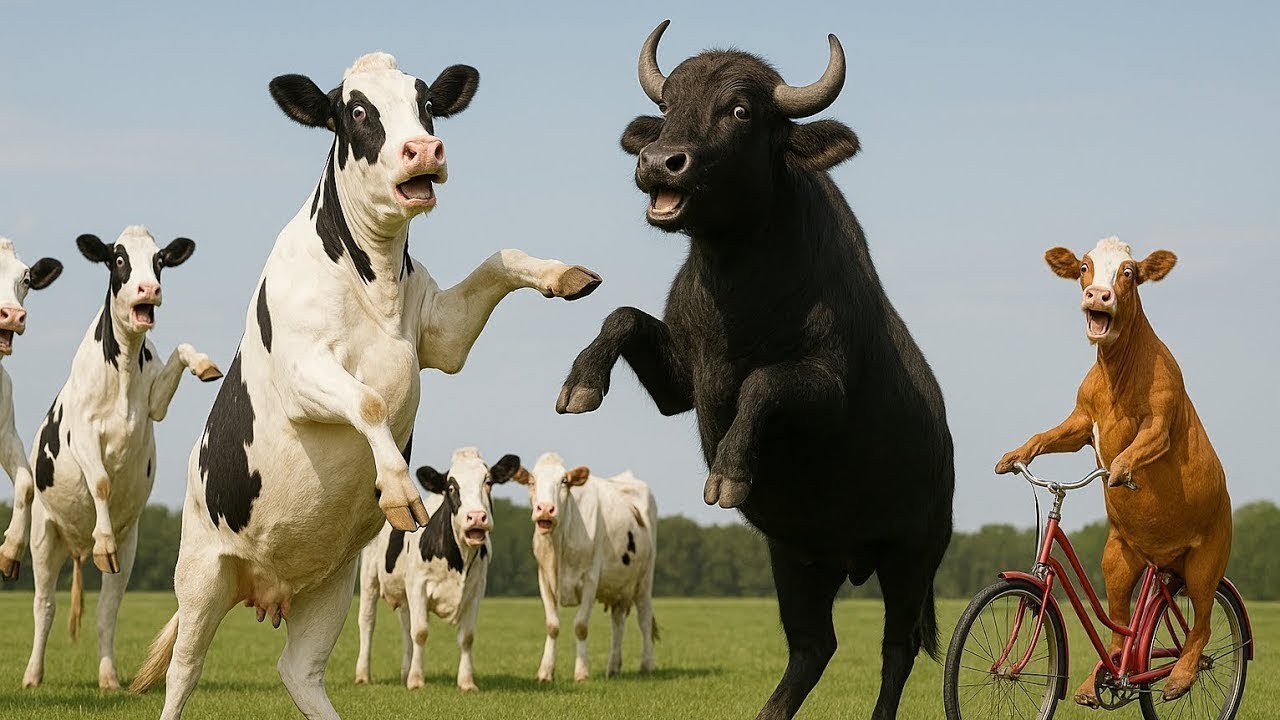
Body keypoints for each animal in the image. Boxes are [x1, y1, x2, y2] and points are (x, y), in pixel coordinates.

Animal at [19, 226, 220, 690]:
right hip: (43, 533)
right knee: (44, 605)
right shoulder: (82, 432)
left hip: (130, 547)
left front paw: (204, 363)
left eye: (160, 260)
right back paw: (33, 674)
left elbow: (181, 351)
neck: (124, 363)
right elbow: (101, 482)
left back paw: (109, 676)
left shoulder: (154, 407)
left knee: (107, 611)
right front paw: (103, 537)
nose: (149, 289)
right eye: (119, 260)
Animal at [355, 447, 519, 691]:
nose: (476, 517)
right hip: (369, 576)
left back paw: (404, 672)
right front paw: (416, 680)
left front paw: (466, 682)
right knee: (368, 622)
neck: (457, 561)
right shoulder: (418, 585)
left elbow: (467, 636)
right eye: (451, 487)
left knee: (405, 625)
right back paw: (363, 675)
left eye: (488, 481)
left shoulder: (476, 590)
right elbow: (420, 632)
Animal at [515, 452, 657, 682]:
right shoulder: (544, 578)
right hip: (619, 585)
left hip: (645, 579)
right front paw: (546, 672)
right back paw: (613, 667)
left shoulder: (590, 578)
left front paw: (581, 673)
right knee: (618, 623)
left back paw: (647, 665)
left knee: (644, 619)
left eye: (564, 481)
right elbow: (552, 625)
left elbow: (580, 626)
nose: (545, 509)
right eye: (531, 481)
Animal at [555, 22, 955, 720]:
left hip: (912, 555)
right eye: (668, 107)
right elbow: (622, 316)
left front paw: (730, 474)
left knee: (896, 648)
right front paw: (580, 384)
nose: (659, 162)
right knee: (813, 647)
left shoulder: (827, 392)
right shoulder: (682, 381)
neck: (737, 287)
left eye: (739, 111)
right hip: (797, 559)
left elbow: (765, 384)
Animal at [996, 236, 1231, 704]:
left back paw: (1180, 676)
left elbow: (1136, 448)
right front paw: (1014, 456)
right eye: (1084, 267)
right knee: (1125, 620)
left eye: (1129, 272)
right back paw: (1102, 677)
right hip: (1121, 554)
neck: (1117, 373)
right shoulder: (1079, 421)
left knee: (1199, 625)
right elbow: (1044, 435)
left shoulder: (1160, 421)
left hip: (1207, 558)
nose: (1098, 295)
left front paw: (1120, 470)